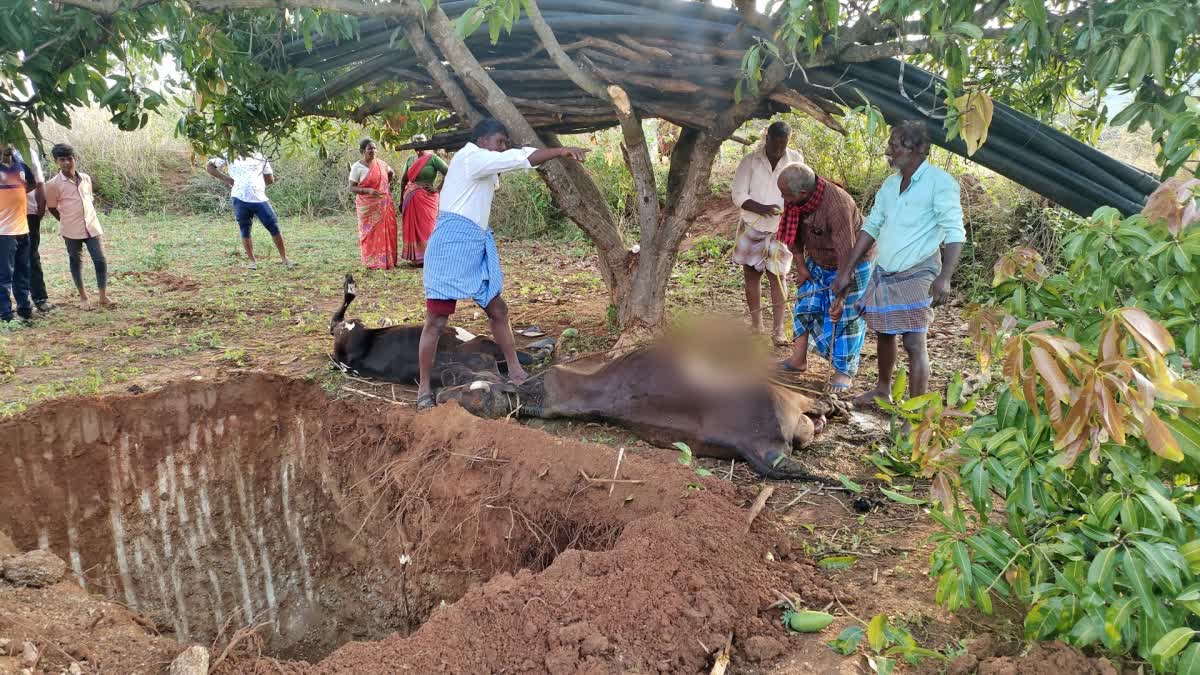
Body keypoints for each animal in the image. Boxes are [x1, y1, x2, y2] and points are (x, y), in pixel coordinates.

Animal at [436, 343, 840, 480]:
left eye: (476, 391)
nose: (439, 395)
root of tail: (756, 445)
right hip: (783, 399)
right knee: (812, 412)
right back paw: (831, 410)